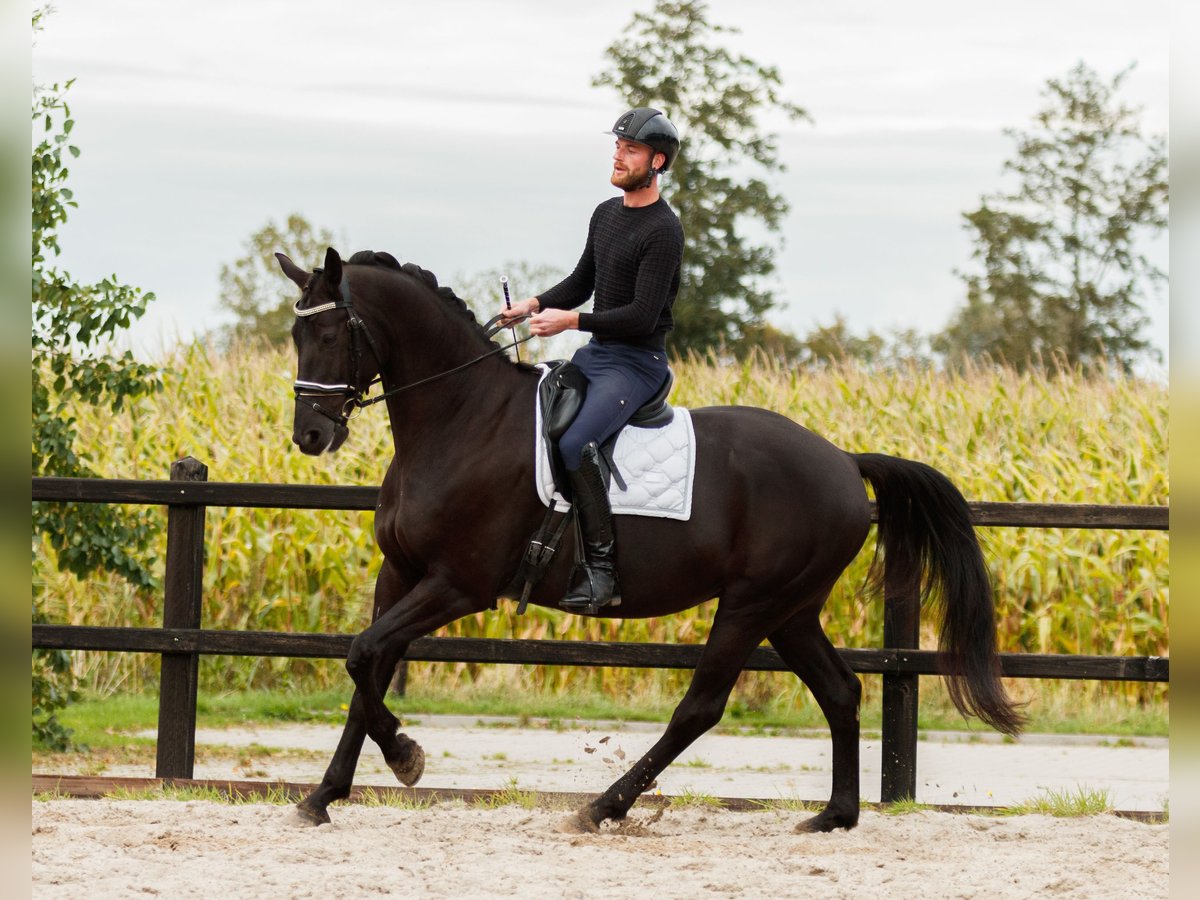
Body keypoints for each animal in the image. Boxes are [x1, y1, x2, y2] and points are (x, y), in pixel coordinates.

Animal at [276, 247, 1017, 830]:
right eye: (294, 333)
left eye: (335, 332)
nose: (310, 435)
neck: (462, 419)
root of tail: (841, 459)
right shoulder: (399, 574)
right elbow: (364, 666)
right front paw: (325, 794)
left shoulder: (458, 586)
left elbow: (364, 655)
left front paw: (405, 757)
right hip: (792, 610)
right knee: (839, 692)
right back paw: (834, 815)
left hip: (752, 604)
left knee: (702, 706)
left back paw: (605, 806)